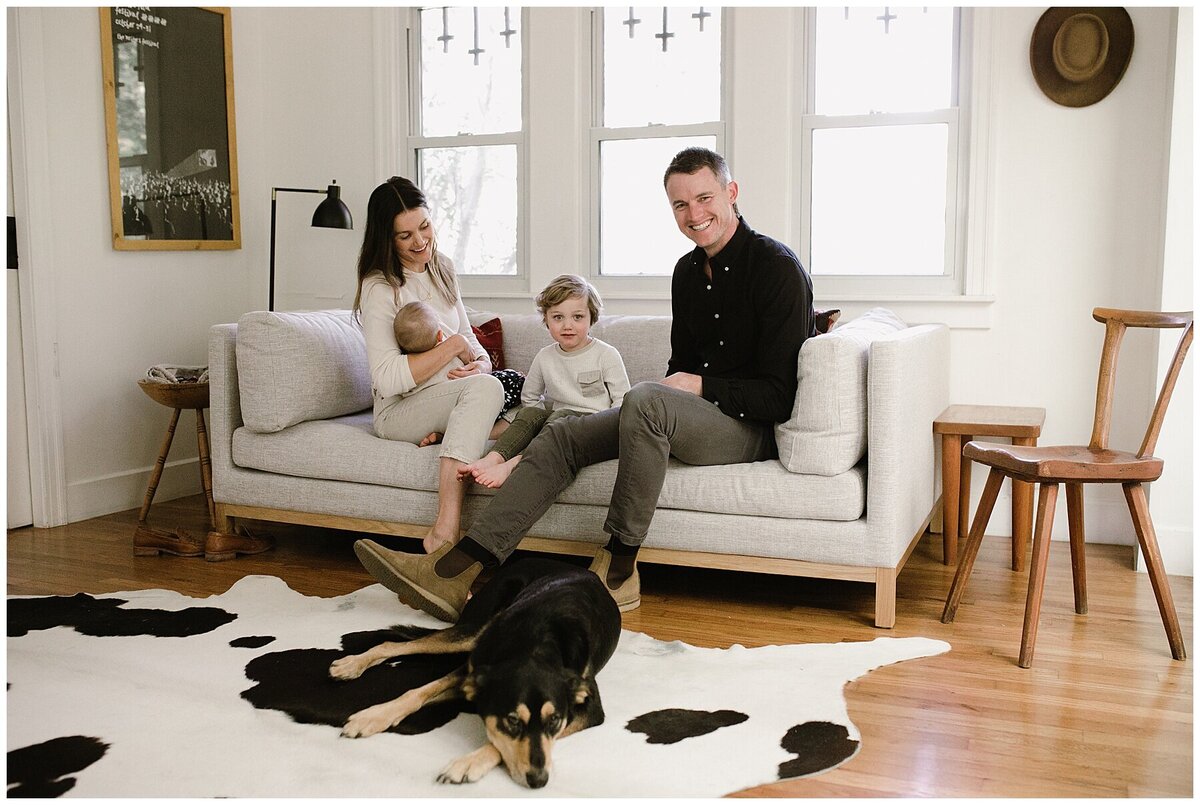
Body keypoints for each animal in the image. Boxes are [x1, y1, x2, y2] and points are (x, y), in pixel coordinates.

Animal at [331, 556, 624, 791]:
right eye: (512, 721)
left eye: (555, 721)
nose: (539, 780)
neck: (534, 645)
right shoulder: (476, 668)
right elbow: (420, 691)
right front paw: (374, 716)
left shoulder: (588, 711)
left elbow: (498, 742)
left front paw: (468, 763)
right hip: (474, 629)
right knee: (393, 644)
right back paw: (352, 664)